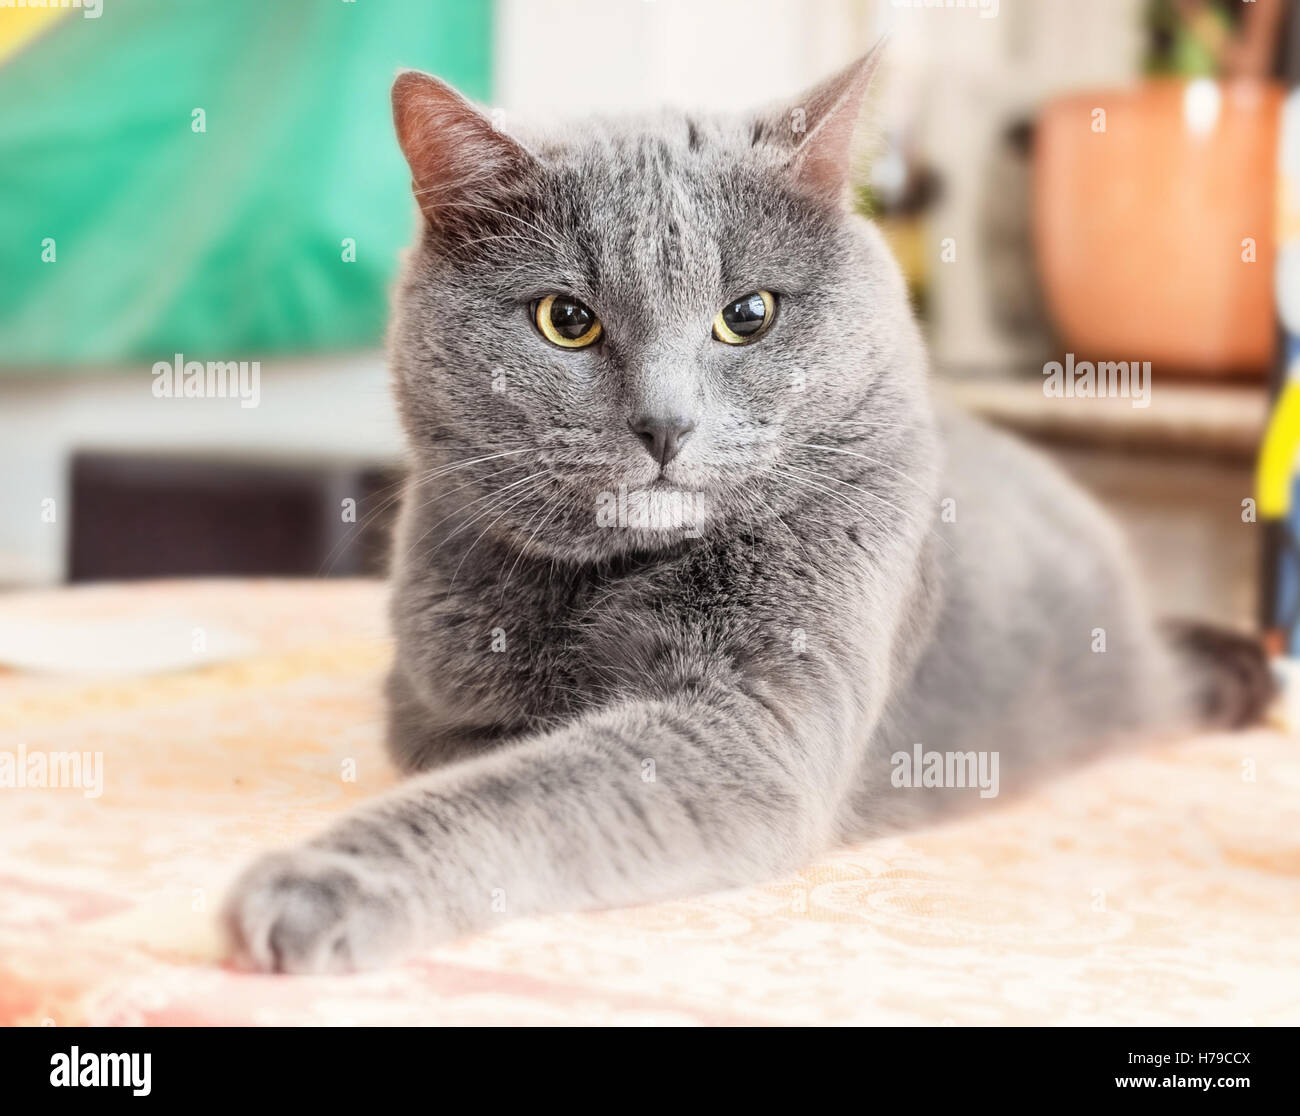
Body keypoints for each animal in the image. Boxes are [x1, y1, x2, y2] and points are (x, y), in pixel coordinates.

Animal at [220, 52, 1268, 967]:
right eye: (567, 320)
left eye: (749, 315)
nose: (665, 424)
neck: (616, 579)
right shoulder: (432, 684)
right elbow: (466, 750)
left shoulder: (751, 726)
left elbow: (520, 791)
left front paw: (318, 884)